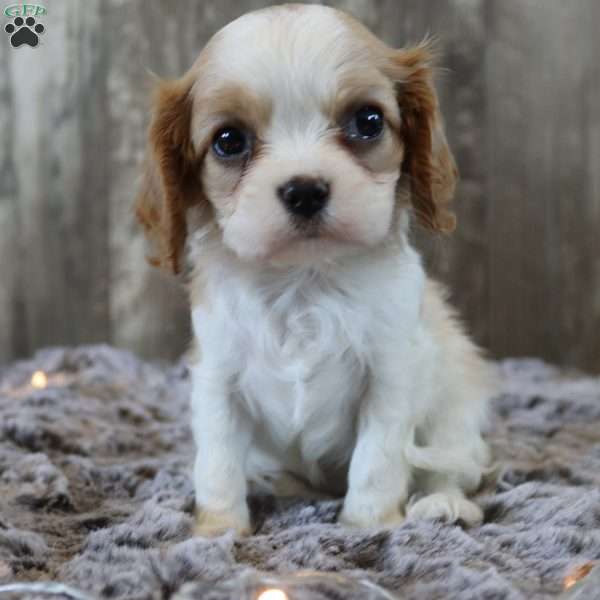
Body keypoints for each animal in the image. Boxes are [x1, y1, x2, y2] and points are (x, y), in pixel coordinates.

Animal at [137, 4, 496, 536]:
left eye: (368, 121)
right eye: (229, 140)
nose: (304, 190)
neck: (303, 280)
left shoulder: (391, 373)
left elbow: (377, 459)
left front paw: (369, 524)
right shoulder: (218, 376)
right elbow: (217, 462)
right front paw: (218, 531)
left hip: (455, 402)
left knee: (452, 466)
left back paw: (442, 505)